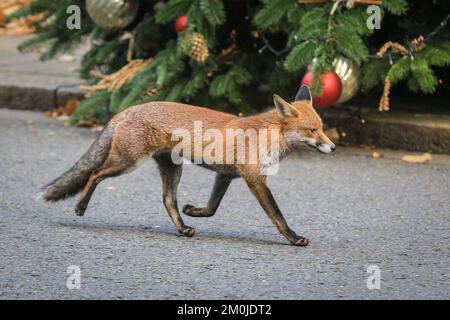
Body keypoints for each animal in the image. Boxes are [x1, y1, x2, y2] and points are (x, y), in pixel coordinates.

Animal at [42, 85, 336, 245]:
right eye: (312, 130)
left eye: (322, 128)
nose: (333, 147)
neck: (267, 134)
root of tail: (126, 109)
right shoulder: (255, 178)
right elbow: (277, 215)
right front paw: (294, 238)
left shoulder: (225, 175)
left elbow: (212, 209)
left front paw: (194, 211)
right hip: (126, 162)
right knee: (94, 173)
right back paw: (81, 206)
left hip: (173, 169)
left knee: (167, 200)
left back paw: (183, 228)